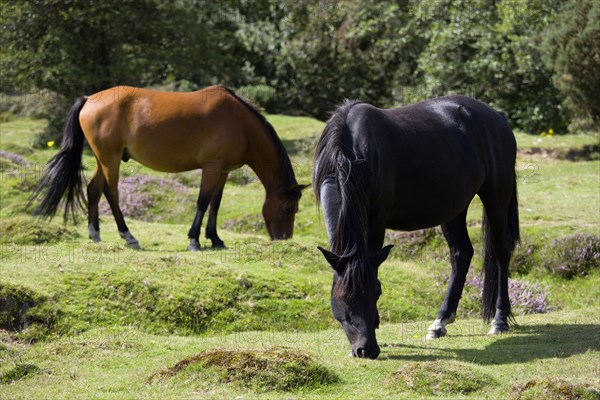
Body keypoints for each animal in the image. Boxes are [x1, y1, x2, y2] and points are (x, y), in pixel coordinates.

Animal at [30, 86, 308, 250]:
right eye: (288, 207)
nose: (284, 238)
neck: (240, 124)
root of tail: (89, 99)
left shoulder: (224, 169)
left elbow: (215, 204)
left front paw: (215, 239)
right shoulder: (212, 166)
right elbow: (203, 201)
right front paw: (195, 240)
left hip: (103, 158)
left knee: (94, 190)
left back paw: (95, 234)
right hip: (110, 159)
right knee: (112, 192)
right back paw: (128, 236)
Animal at [314, 96, 520, 360]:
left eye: (376, 292)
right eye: (342, 297)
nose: (366, 349)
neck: (348, 155)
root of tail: (498, 118)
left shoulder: (377, 217)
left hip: (496, 197)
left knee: (501, 252)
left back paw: (499, 321)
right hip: (454, 207)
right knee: (462, 254)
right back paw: (440, 322)